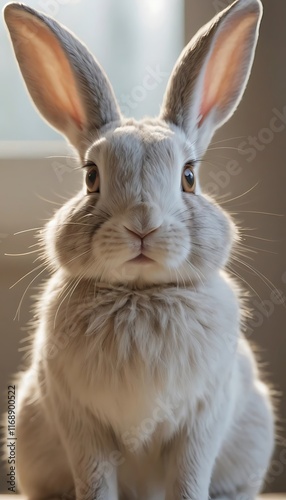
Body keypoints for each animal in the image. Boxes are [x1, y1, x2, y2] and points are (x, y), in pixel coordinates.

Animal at [2, 0, 274, 498]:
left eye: (189, 177)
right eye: (91, 177)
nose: (142, 226)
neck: (140, 294)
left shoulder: (202, 421)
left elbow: (189, 478)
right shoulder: (82, 427)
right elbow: (94, 481)